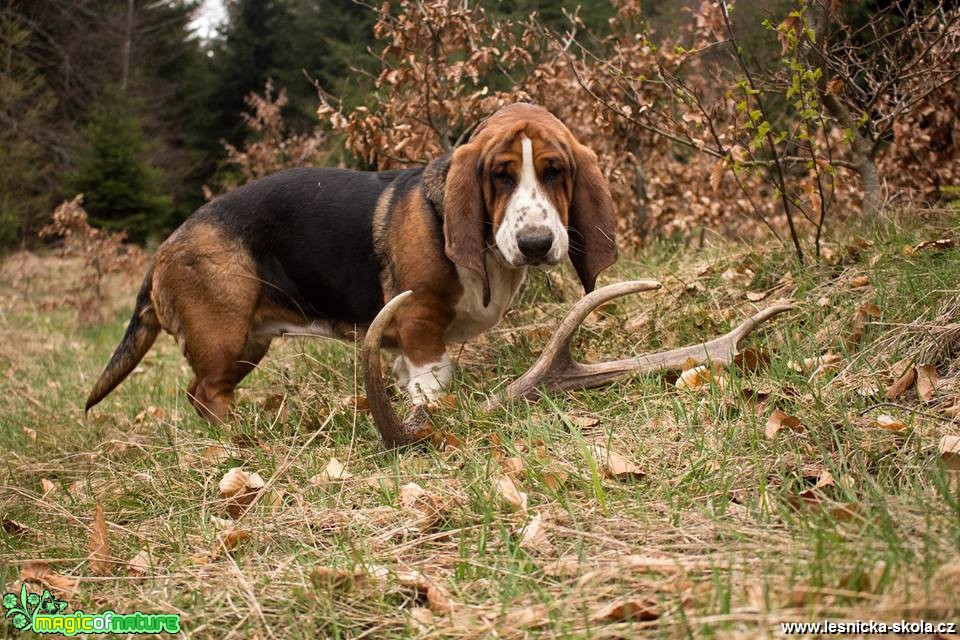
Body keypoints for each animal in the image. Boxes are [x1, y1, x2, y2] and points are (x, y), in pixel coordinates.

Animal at [86, 103, 620, 422]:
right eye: (501, 176)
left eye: (556, 171)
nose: (535, 243)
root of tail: (166, 247)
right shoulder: (421, 324)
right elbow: (433, 378)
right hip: (223, 338)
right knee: (204, 393)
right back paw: (238, 441)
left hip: (247, 343)